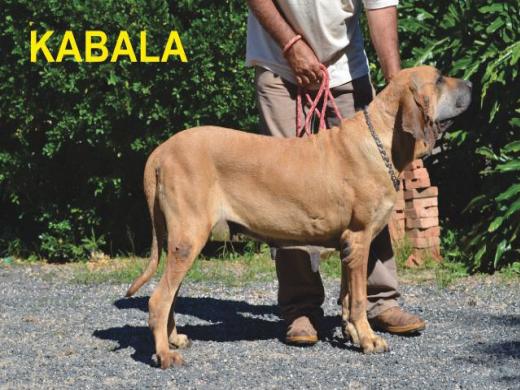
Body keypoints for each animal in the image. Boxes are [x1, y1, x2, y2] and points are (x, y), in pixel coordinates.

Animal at [125, 65, 472, 368]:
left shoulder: (349, 246)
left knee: (170, 295)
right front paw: (369, 339)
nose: (470, 83)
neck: (381, 141)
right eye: (439, 79)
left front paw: (352, 332)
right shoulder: (359, 239)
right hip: (188, 238)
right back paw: (164, 354)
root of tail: (160, 151)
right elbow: (360, 298)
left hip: (180, 242)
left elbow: (347, 296)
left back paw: (174, 338)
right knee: (159, 299)